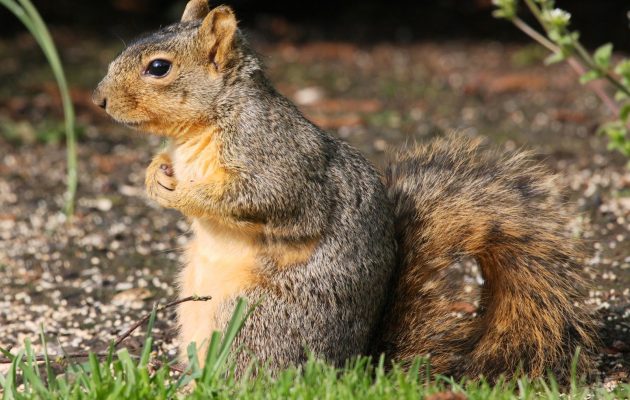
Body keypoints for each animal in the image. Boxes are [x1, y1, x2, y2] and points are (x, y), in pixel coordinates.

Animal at [92, 0, 596, 382]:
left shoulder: (277, 163)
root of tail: (351, 366)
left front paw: (182, 193)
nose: (98, 100)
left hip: (251, 319)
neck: (204, 125)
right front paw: (153, 173)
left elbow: (260, 199)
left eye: (159, 68)